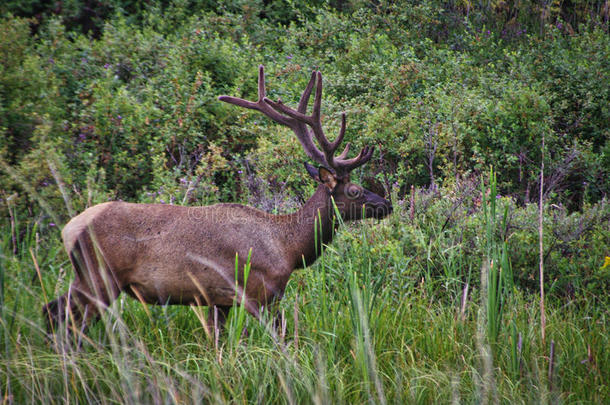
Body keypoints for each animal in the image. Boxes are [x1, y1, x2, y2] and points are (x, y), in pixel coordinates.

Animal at [44, 66, 394, 336]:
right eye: (354, 191)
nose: (386, 205)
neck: (289, 247)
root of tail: (69, 229)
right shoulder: (258, 292)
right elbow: (282, 339)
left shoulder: (218, 301)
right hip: (99, 277)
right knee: (65, 319)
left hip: (87, 278)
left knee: (52, 310)